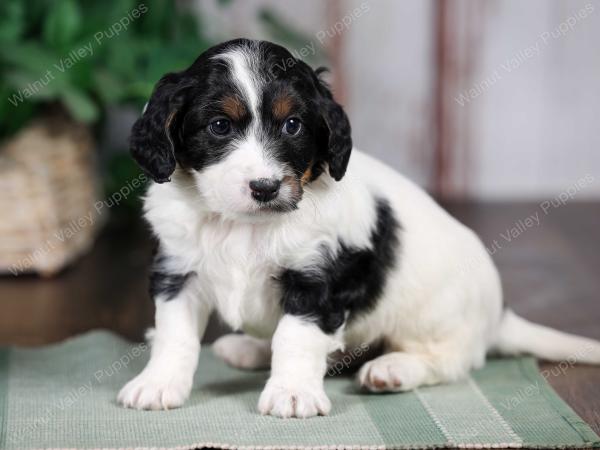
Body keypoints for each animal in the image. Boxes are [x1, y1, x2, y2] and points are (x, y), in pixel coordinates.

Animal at [117, 38, 600, 418]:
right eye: (219, 126)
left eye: (292, 125)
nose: (266, 187)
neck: (245, 225)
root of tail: (500, 315)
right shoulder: (179, 271)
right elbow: (174, 335)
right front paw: (158, 384)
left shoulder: (318, 279)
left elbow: (296, 337)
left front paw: (292, 392)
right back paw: (249, 348)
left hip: (438, 322)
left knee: (449, 361)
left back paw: (393, 368)